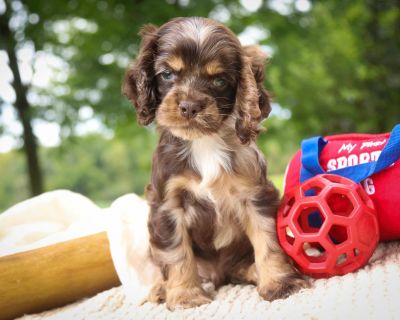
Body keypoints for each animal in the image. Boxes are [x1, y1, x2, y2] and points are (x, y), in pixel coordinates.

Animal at [123, 16, 304, 310]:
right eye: (167, 74)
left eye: (219, 80)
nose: (189, 106)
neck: (204, 142)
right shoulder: (168, 204)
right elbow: (177, 254)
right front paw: (185, 296)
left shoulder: (255, 194)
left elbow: (268, 242)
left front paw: (280, 283)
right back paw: (162, 289)